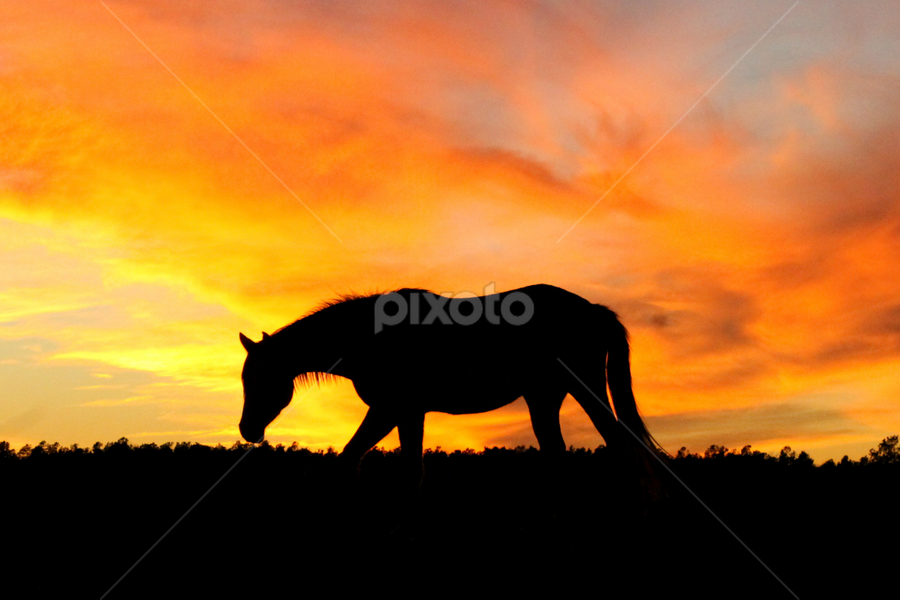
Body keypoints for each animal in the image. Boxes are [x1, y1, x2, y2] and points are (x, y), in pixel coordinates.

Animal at [238, 284, 665, 496]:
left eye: (262, 378)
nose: (247, 430)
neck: (370, 337)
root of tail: (592, 309)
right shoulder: (401, 412)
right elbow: (395, 466)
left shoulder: (393, 409)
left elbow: (362, 460)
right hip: (543, 397)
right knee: (557, 455)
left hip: (584, 388)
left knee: (619, 445)